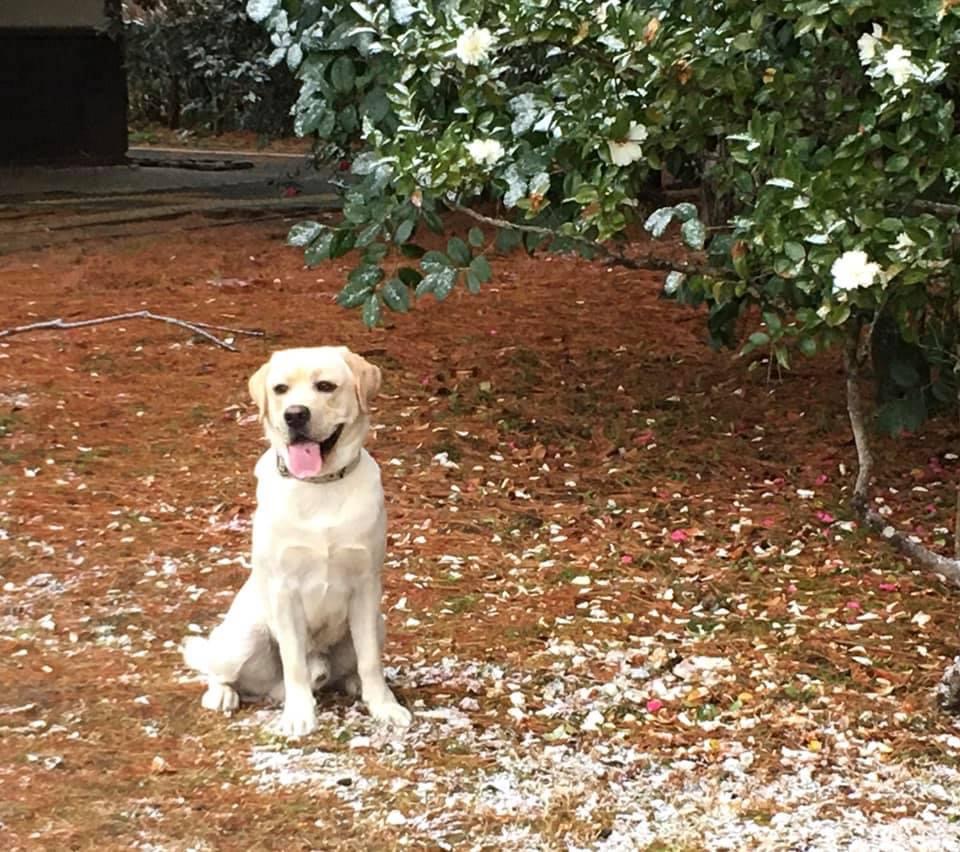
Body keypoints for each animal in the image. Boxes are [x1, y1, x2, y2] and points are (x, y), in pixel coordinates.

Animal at [182, 342, 410, 736]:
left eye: (325, 386)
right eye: (280, 389)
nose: (295, 415)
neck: (319, 486)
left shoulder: (366, 586)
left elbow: (370, 661)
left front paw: (383, 706)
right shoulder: (285, 590)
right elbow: (294, 665)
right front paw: (299, 715)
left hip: (378, 622)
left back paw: (351, 685)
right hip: (243, 636)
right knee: (223, 671)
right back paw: (222, 695)